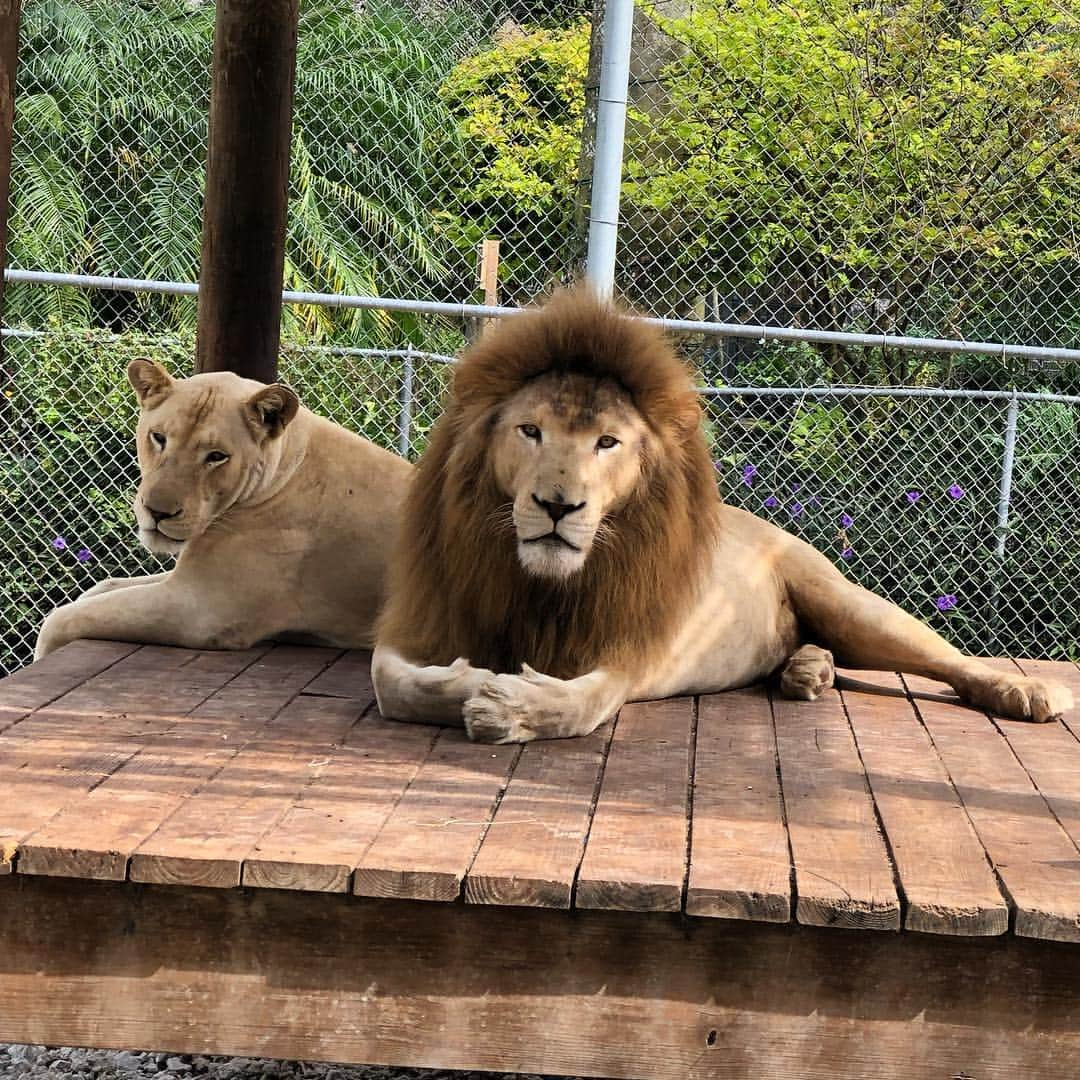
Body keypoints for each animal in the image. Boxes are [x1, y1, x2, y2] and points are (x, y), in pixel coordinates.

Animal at [33, 358, 410, 656]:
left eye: (216, 456)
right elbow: (101, 588)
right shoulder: (186, 576)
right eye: (158, 437)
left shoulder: (199, 608)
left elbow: (61, 620)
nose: (157, 512)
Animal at [371, 289, 1071, 743]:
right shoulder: (423, 618)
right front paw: (470, 679)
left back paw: (1028, 692)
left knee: (948, 659)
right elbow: (393, 684)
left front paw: (507, 706)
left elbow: (579, 707)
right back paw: (808, 670)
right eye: (530, 431)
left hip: (847, 603)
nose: (557, 505)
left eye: (607, 443)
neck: (540, 583)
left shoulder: (628, 652)